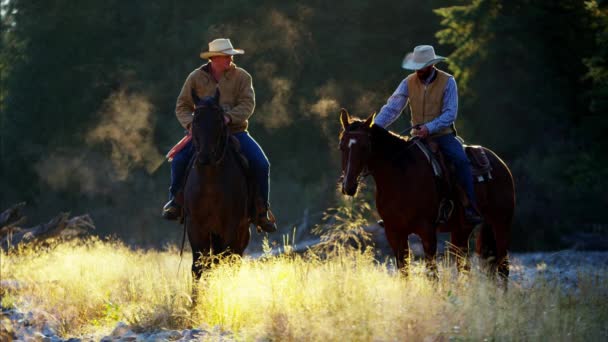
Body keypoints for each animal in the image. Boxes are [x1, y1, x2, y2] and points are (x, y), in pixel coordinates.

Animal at [185, 90, 252, 286]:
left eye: (218, 120)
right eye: (195, 120)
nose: (205, 156)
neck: (210, 183)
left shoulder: (230, 226)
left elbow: (221, 261)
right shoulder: (195, 226)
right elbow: (199, 266)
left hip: (242, 233)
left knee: (233, 261)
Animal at [340, 108, 516, 280]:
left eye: (364, 147)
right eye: (341, 146)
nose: (348, 186)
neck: (401, 176)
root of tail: (499, 163)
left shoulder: (427, 231)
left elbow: (432, 275)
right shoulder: (394, 232)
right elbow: (404, 274)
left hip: (501, 223)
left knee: (503, 268)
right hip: (462, 229)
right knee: (464, 268)